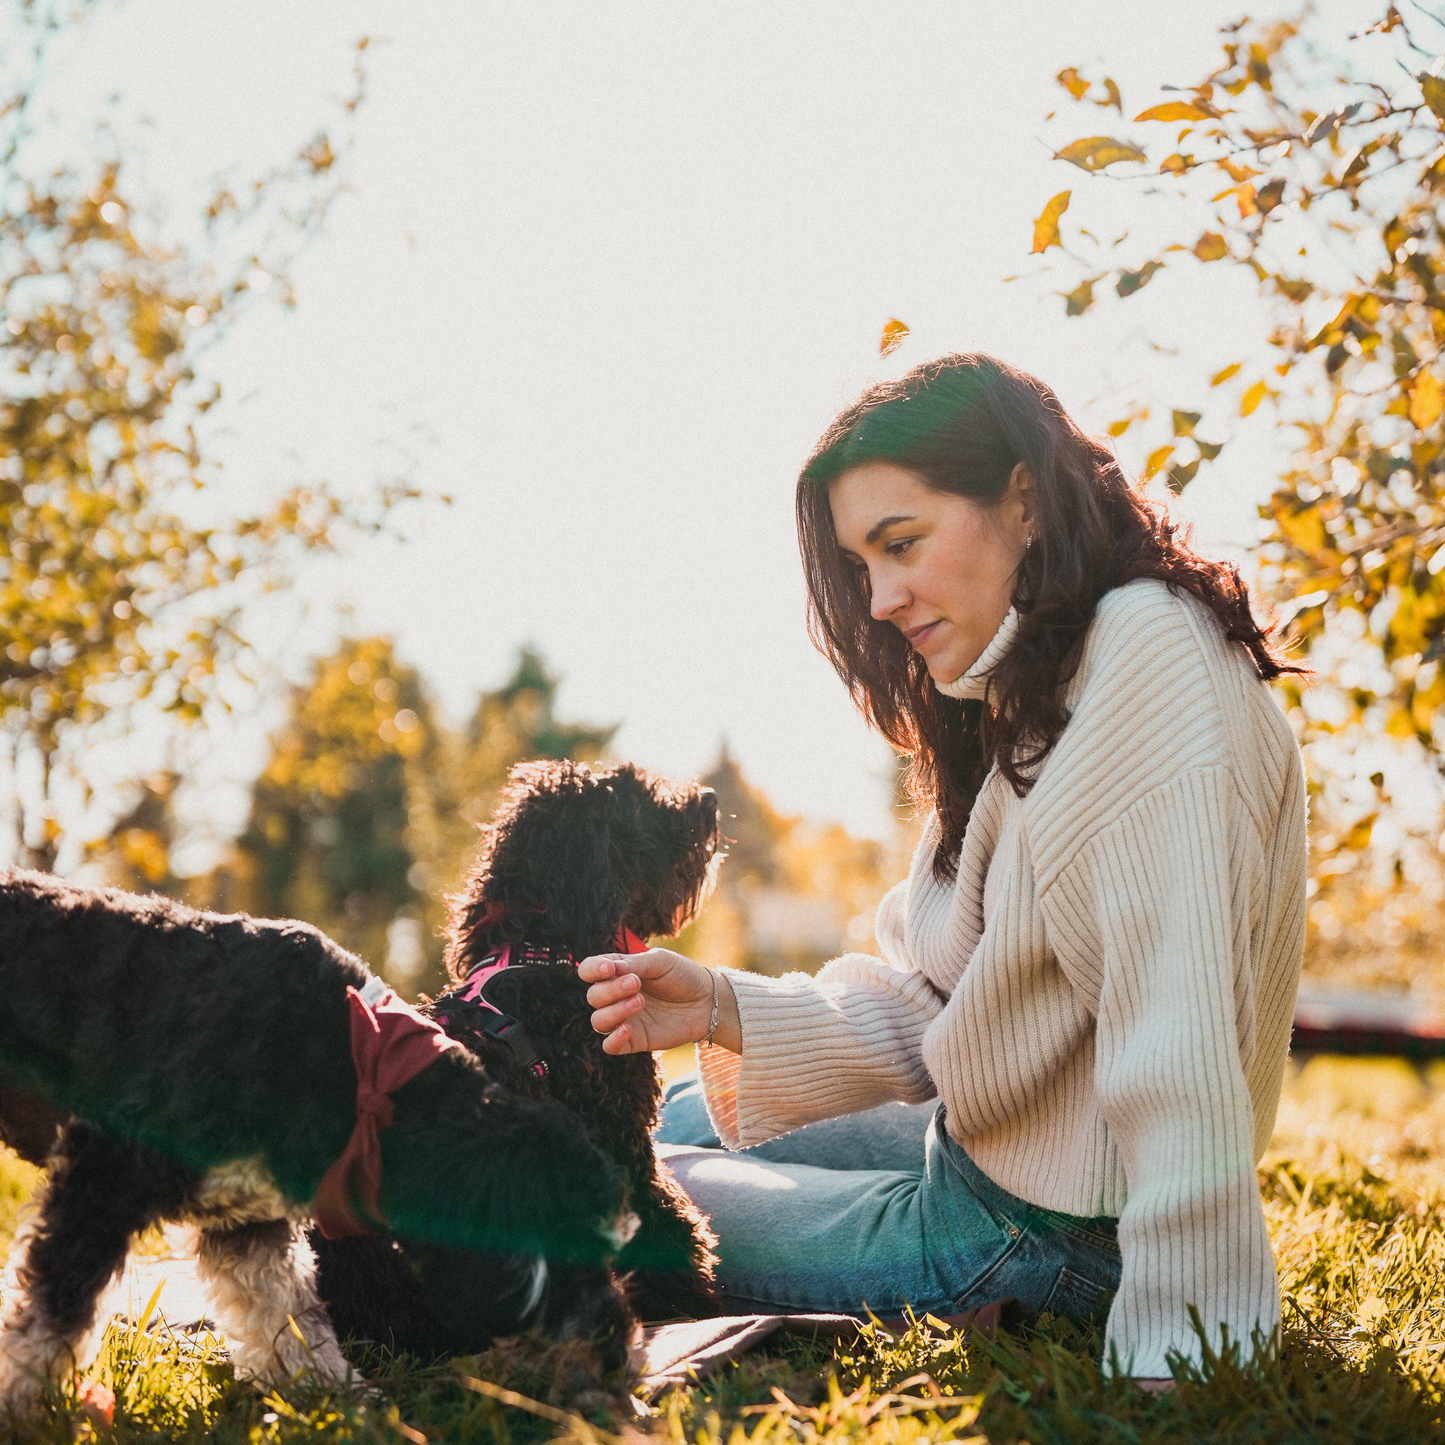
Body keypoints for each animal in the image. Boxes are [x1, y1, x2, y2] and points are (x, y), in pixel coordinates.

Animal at [0, 867, 638, 1410]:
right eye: (577, 1251)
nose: (616, 1350)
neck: (357, 1064)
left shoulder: (247, 1222)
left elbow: (289, 1321)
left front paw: (340, 1401)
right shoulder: (106, 1176)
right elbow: (50, 1318)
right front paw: (27, 1405)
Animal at [315, 762, 722, 1358]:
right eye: (637, 794)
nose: (711, 799)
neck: (544, 949)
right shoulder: (626, 1144)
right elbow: (669, 1225)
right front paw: (696, 1299)